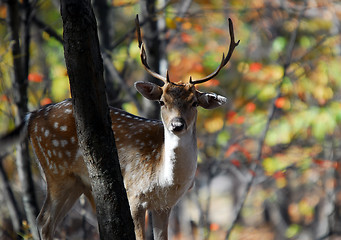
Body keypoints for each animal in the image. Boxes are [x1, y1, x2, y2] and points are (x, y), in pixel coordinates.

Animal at [0, 16, 239, 240]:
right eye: (162, 101)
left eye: (194, 103)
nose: (177, 125)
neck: (166, 181)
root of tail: (31, 116)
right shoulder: (133, 194)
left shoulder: (165, 205)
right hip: (55, 170)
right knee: (43, 220)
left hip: (78, 183)